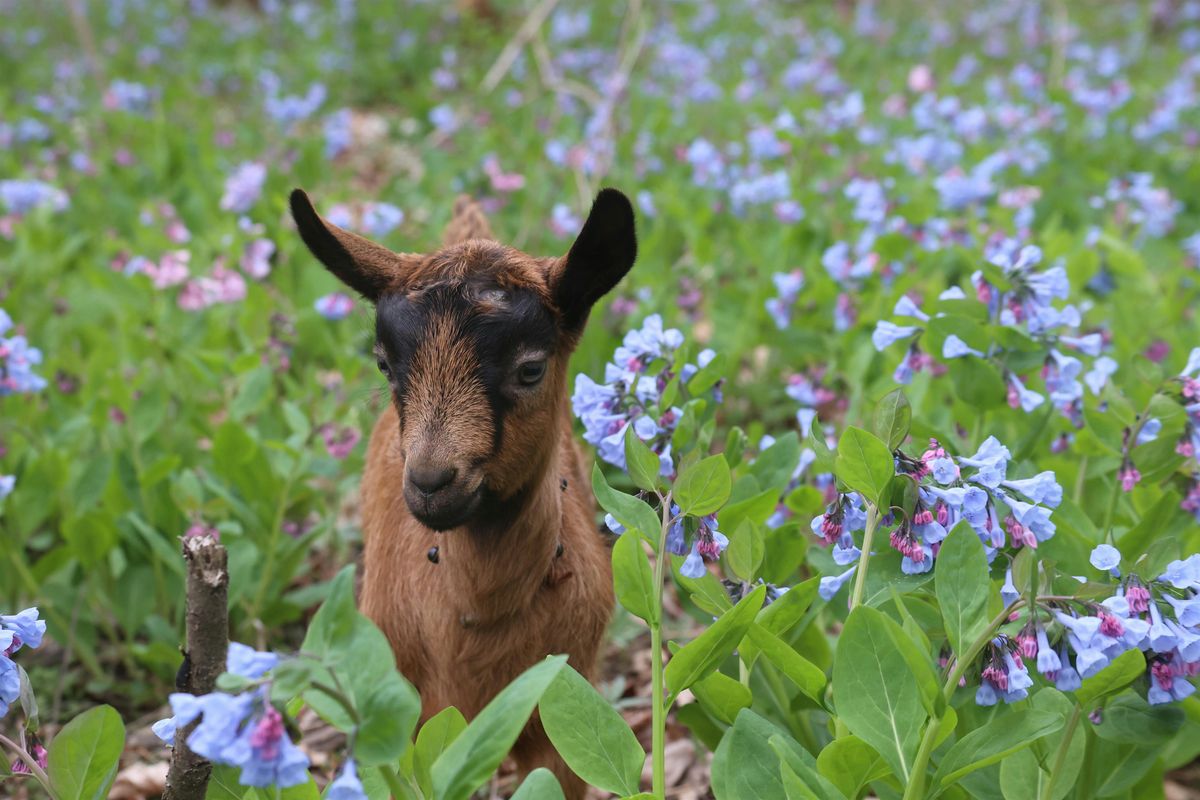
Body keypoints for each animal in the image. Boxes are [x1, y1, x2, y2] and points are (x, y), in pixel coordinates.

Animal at [291, 185, 638, 796]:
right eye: (384, 365)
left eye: (531, 369)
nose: (431, 482)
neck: (479, 607)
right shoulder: (411, 726)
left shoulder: (559, 711)